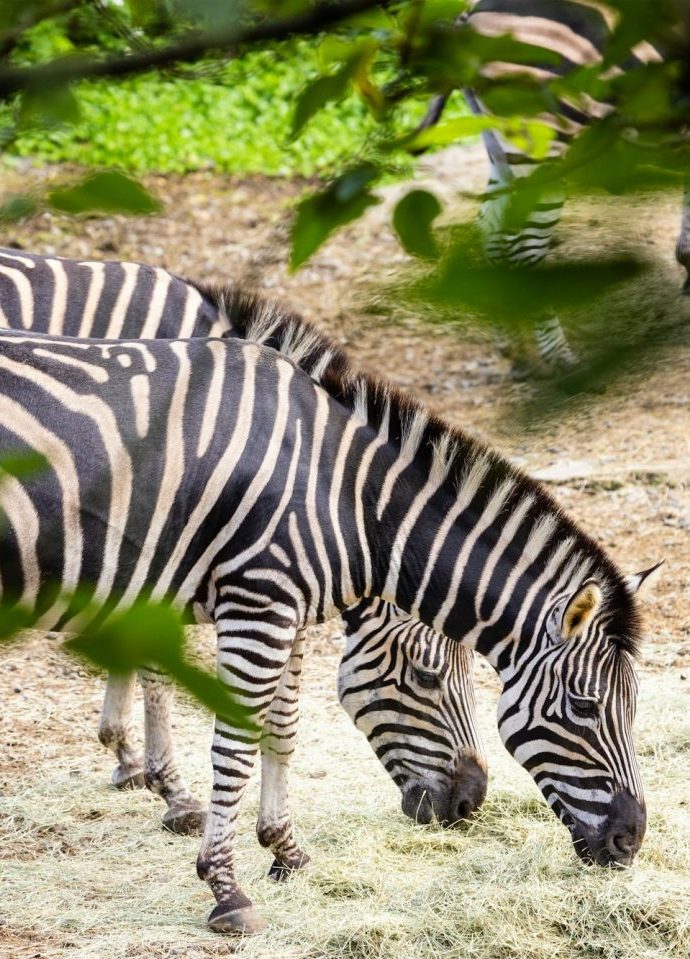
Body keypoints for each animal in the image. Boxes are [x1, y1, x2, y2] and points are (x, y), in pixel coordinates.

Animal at [422, 0, 687, 371]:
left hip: (501, 150)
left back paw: (515, 350)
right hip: (545, 146)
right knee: (526, 251)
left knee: (490, 233)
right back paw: (561, 358)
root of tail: (467, 18)